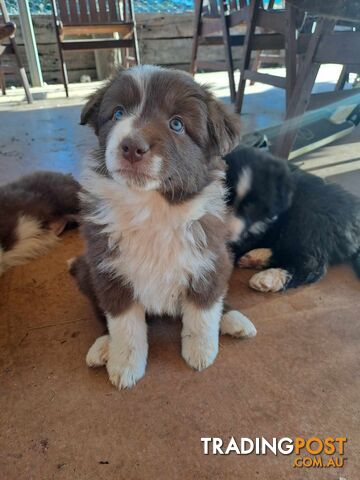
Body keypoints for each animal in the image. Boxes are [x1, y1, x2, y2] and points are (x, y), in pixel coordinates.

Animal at [70, 64, 256, 390]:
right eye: (118, 113)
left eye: (177, 124)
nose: (131, 146)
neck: (153, 208)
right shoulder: (109, 270)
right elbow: (124, 326)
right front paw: (124, 364)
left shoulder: (209, 259)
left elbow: (203, 311)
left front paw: (201, 351)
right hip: (85, 271)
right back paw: (103, 345)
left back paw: (234, 319)